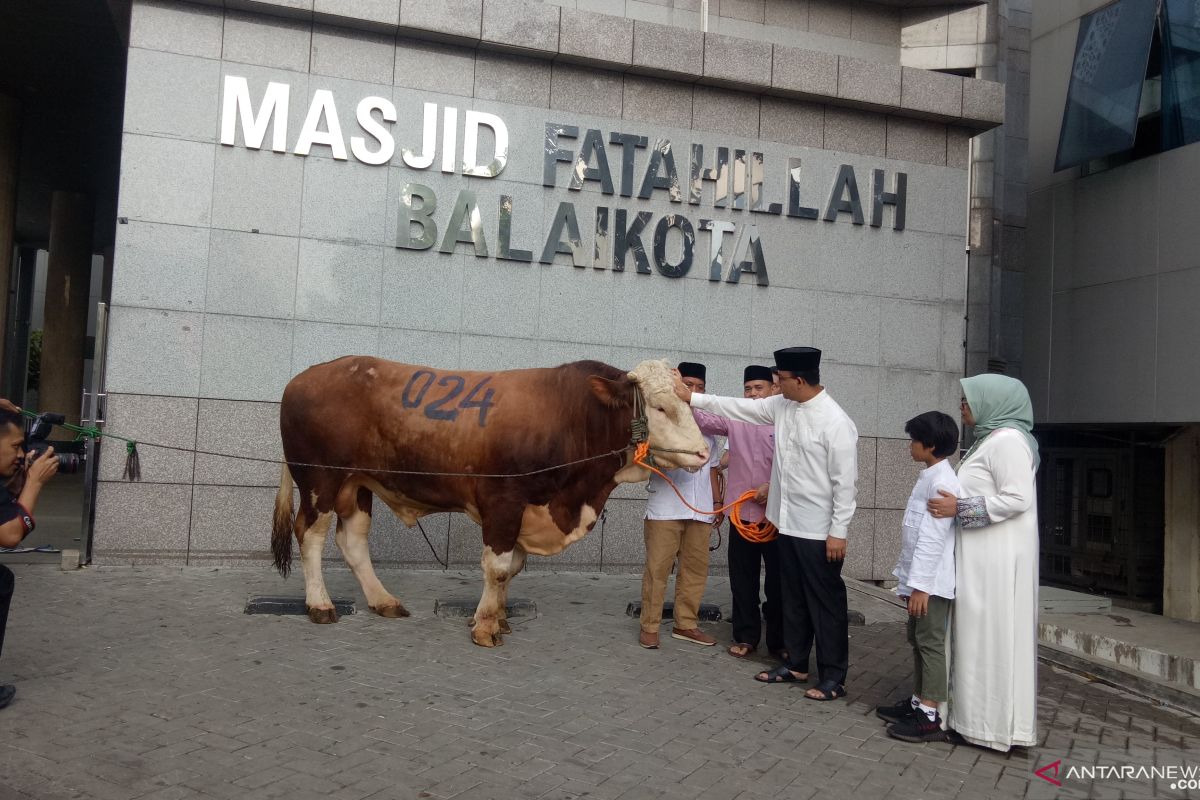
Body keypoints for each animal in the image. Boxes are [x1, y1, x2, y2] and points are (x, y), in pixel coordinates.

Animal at [273, 359, 705, 647]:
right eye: (661, 407)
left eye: (691, 403)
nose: (702, 453)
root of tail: (303, 376)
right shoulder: (503, 502)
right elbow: (496, 568)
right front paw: (484, 626)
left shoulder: (524, 513)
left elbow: (511, 569)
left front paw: (499, 619)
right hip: (320, 480)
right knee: (310, 534)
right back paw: (320, 604)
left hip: (358, 484)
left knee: (353, 540)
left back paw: (384, 601)